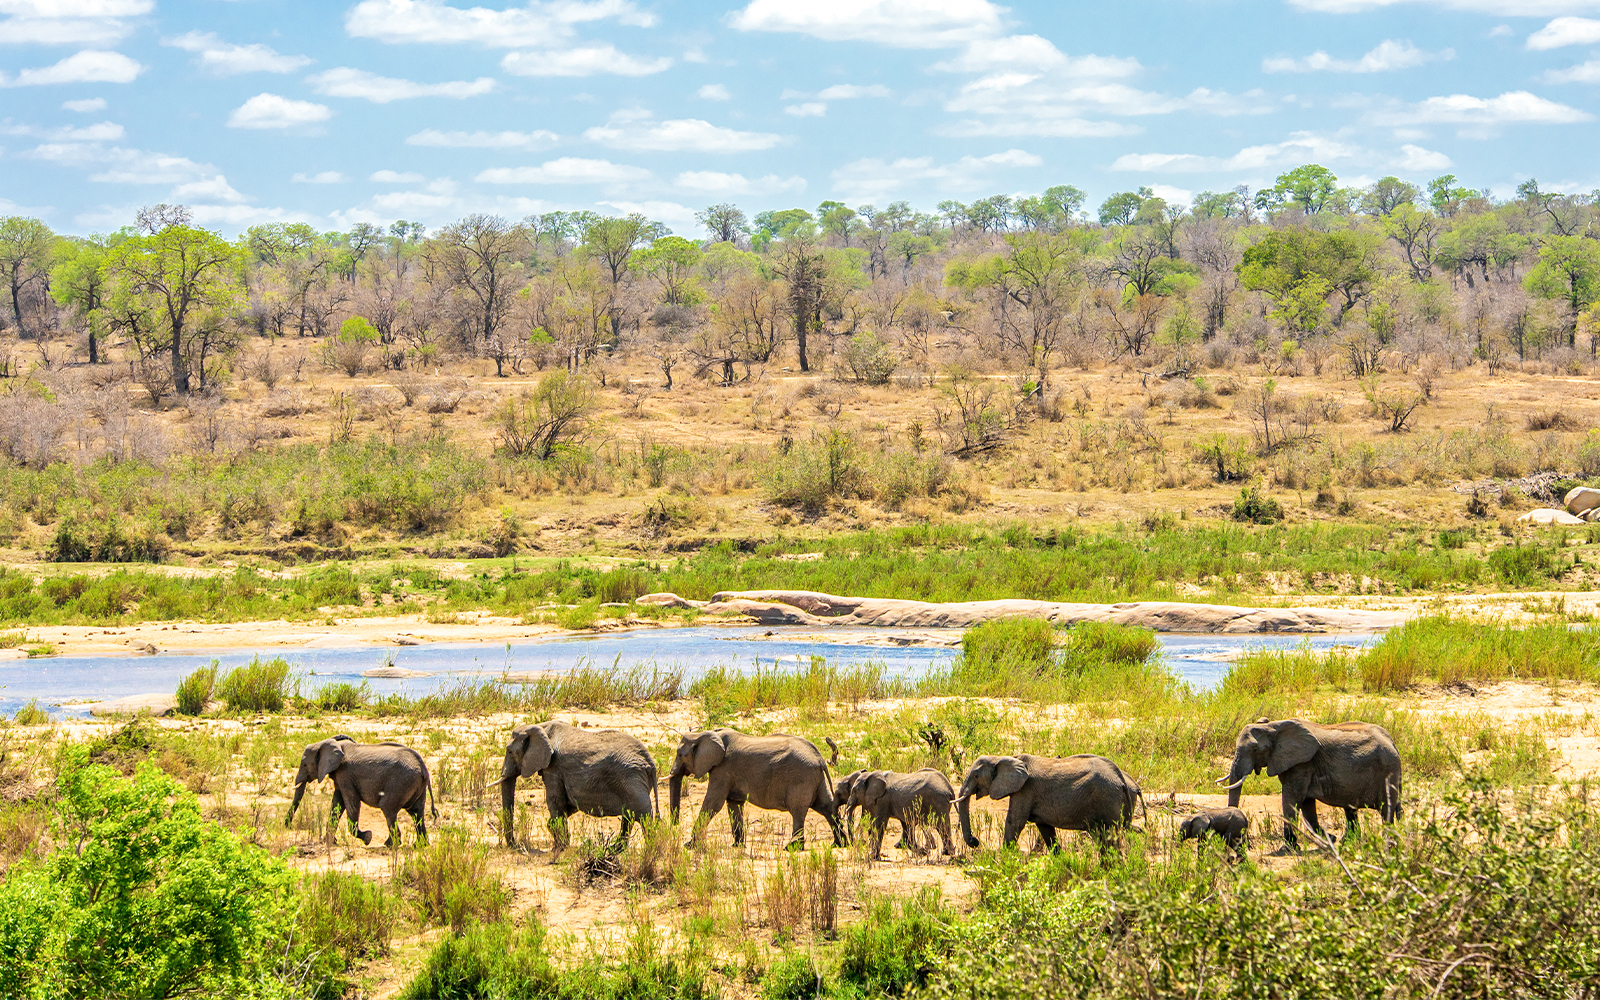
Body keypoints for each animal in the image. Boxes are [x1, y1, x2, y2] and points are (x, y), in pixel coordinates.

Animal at [288, 729, 435, 844]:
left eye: (305, 765)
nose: (287, 826)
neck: (329, 742)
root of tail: (423, 768)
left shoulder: (345, 774)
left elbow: (351, 802)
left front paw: (367, 837)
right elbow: (337, 804)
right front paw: (330, 842)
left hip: (401, 782)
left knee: (388, 807)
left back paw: (390, 845)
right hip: (415, 785)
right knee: (416, 812)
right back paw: (419, 846)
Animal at [496, 716, 652, 851]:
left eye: (509, 751)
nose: (515, 846)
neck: (540, 727)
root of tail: (649, 762)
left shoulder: (554, 767)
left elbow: (555, 800)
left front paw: (562, 847)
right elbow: (569, 803)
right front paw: (557, 838)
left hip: (631, 781)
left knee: (644, 816)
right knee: (629, 816)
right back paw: (615, 850)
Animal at [668, 729, 851, 844]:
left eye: (679, 754)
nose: (675, 824)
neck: (705, 733)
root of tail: (820, 757)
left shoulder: (723, 770)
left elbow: (713, 803)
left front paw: (689, 845)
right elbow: (734, 805)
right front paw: (737, 845)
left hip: (801, 778)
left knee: (798, 811)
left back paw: (792, 847)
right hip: (816, 778)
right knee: (826, 807)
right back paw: (840, 844)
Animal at [1222, 716, 1401, 851]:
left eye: (1254, 749)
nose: (1245, 843)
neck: (1273, 727)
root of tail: (1392, 742)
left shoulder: (1302, 764)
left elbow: (1292, 799)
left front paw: (1288, 849)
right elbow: (1307, 804)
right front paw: (1330, 838)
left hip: (1387, 771)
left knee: (1386, 811)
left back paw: (1388, 843)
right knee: (1353, 809)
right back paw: (1347, 841)